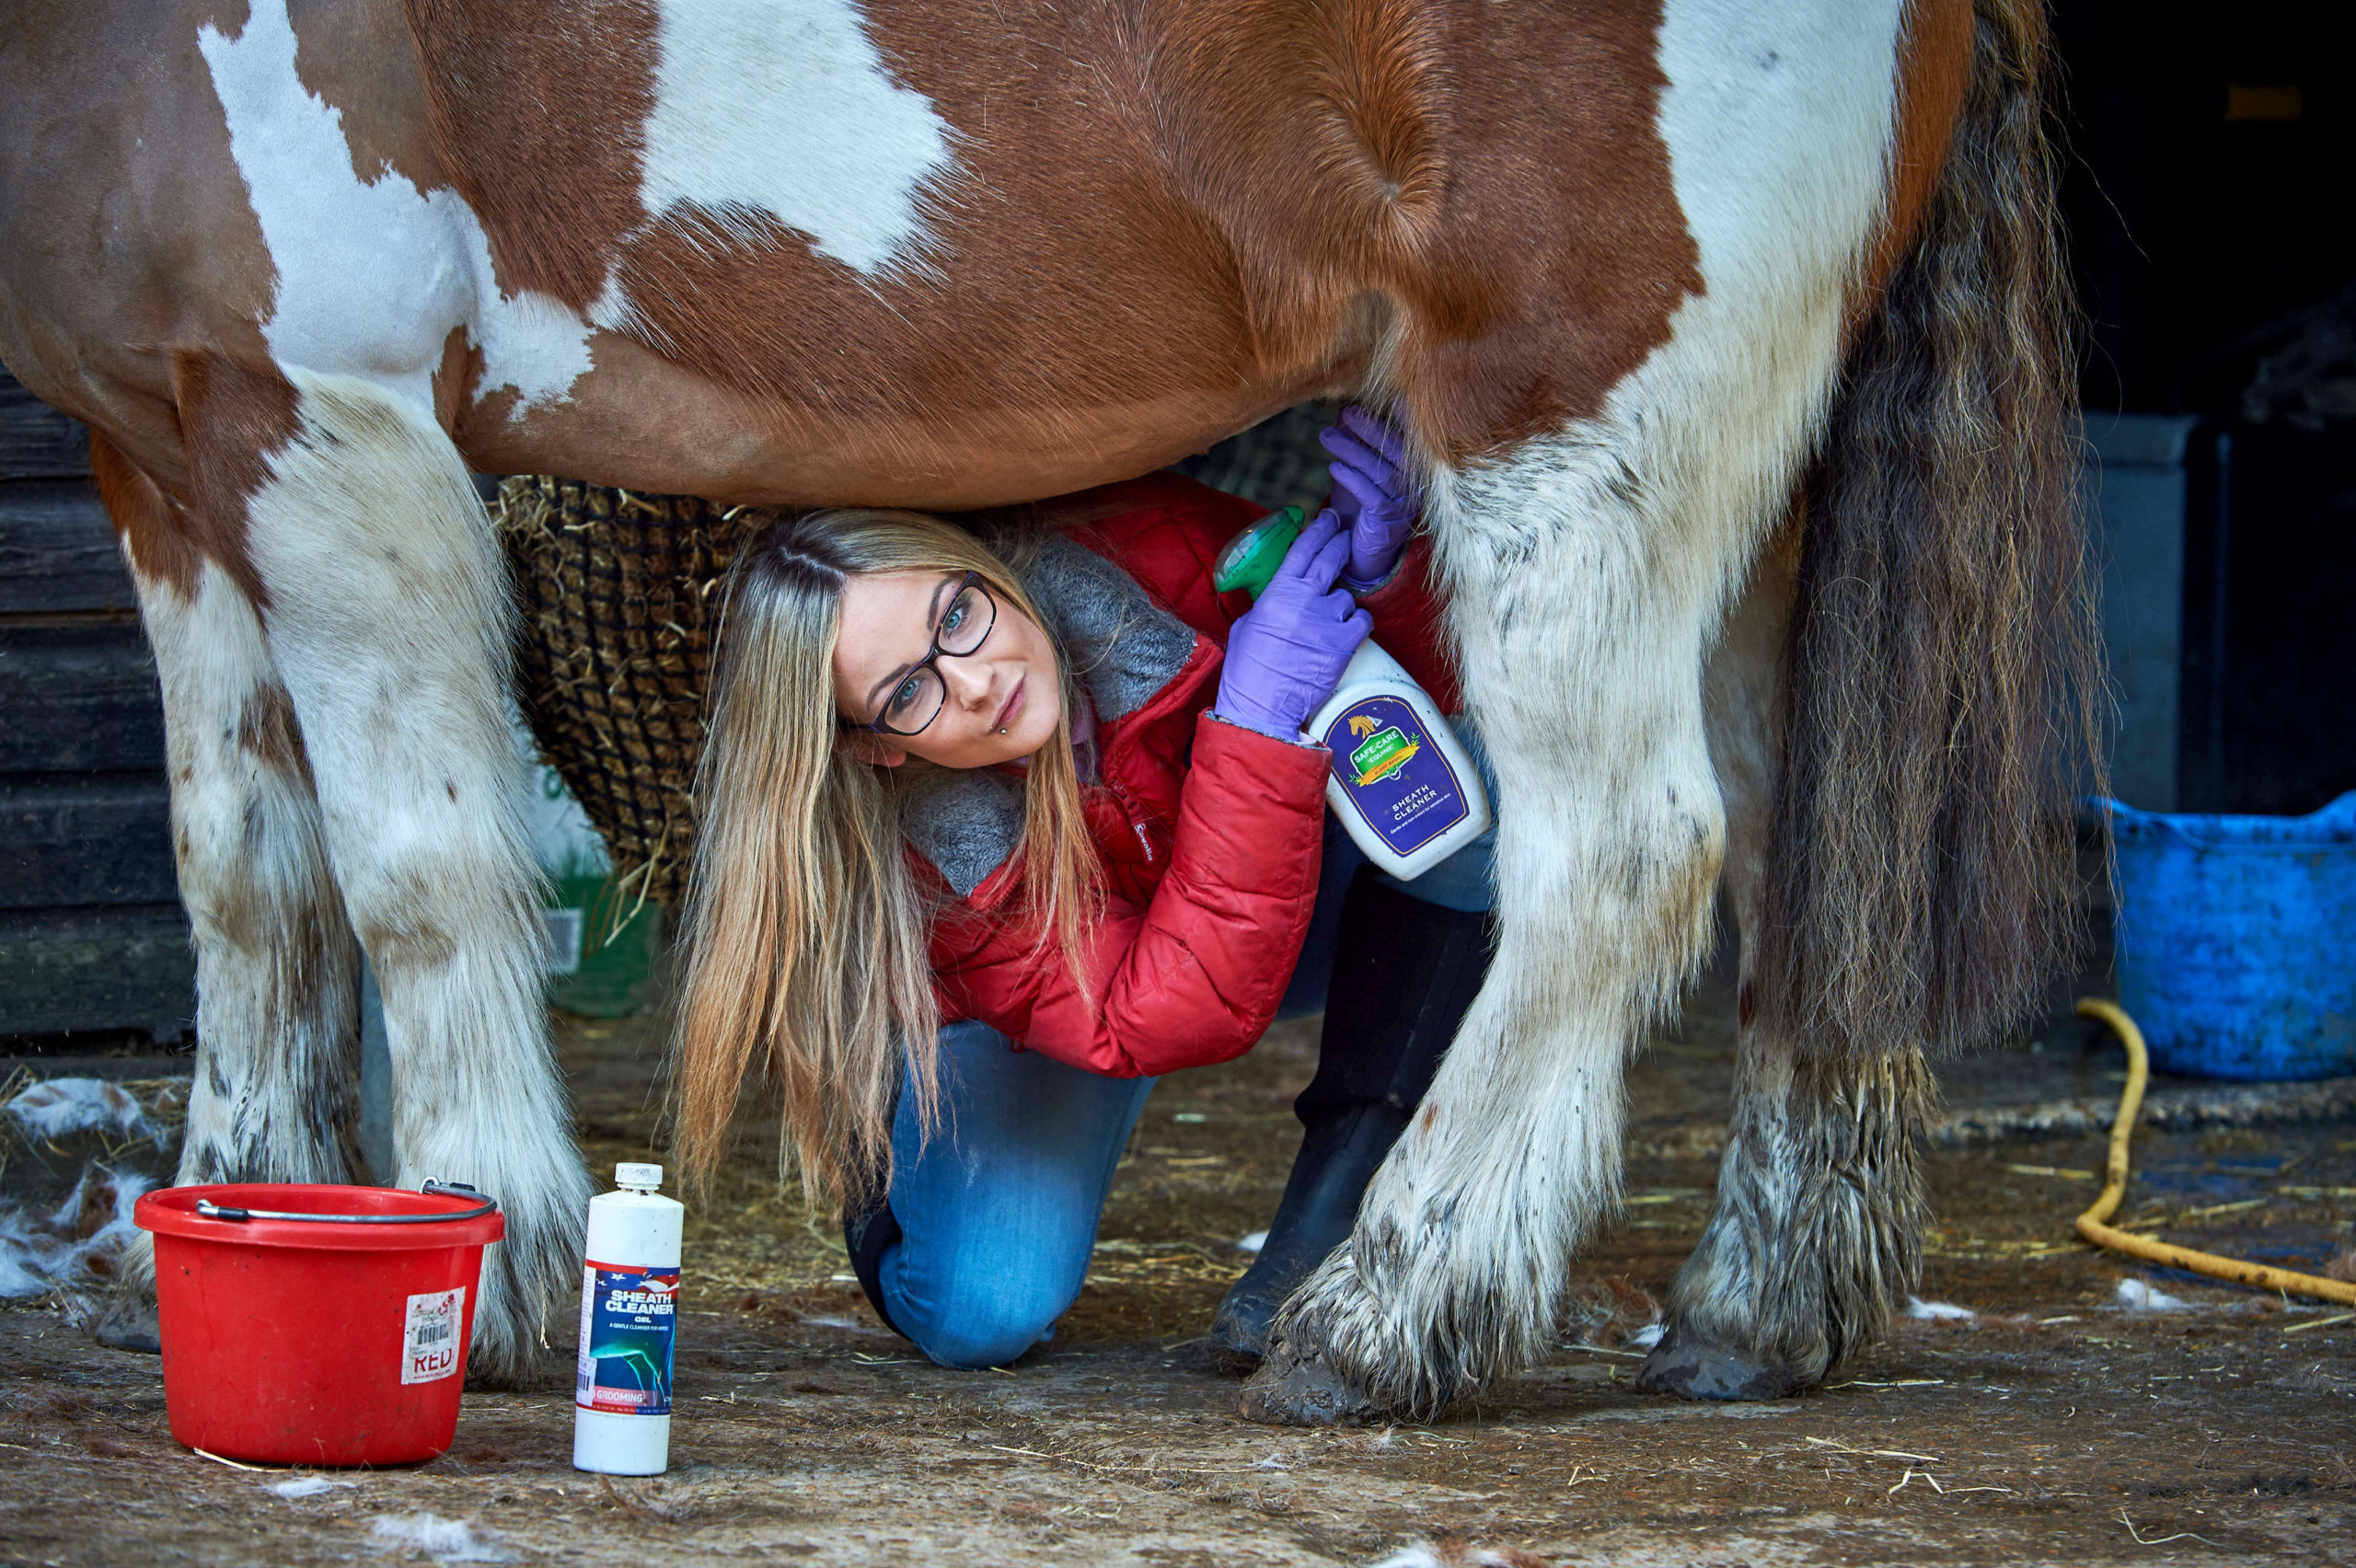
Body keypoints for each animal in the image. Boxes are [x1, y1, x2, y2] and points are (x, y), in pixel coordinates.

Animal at [0, 0, 2101, 1412]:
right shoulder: (165, 448)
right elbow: (241, 867)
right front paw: (236, 1205)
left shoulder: (320, 408)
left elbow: (413, 869)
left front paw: (488, 1253)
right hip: (1740, 486)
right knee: (1812, 851)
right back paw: (1753, 1313)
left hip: (1576, 420)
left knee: (1626, 857)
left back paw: (1389, 1318)